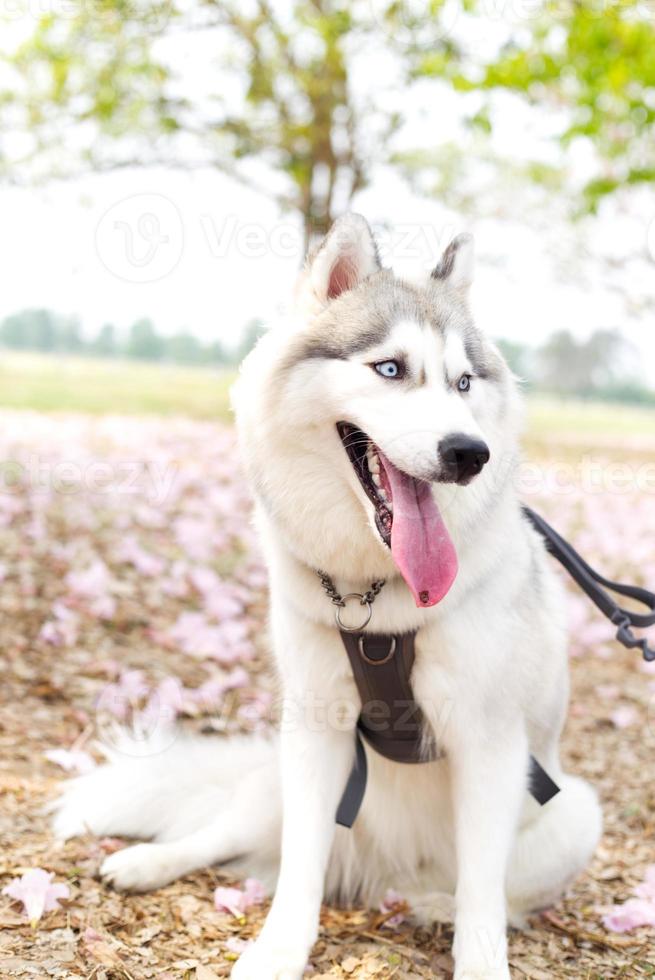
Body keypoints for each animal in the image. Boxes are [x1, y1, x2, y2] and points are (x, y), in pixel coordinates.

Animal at [53, 216, 604, 980]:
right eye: (390, 369)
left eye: (464, 382)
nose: (470, 453)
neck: (374, 594)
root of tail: (379, 877)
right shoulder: (314, 729)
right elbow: (299, 870)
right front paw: (278, 951)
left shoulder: (491, 744)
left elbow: (483, 898)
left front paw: (479, 960)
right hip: (276, 785)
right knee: (227, 834)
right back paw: (148, 861)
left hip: (575, 812)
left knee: (484, 890)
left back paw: (431, 906)